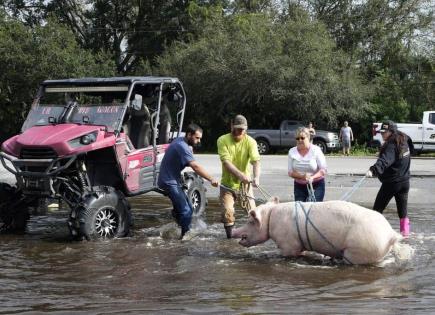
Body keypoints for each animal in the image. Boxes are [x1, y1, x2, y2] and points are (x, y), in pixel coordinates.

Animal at [233, 200, 404, 264]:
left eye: (250, 221)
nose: (233, 231)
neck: (271, 218)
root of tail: (390, 235)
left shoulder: (289, 244)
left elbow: (289, 254)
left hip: (359, 249)